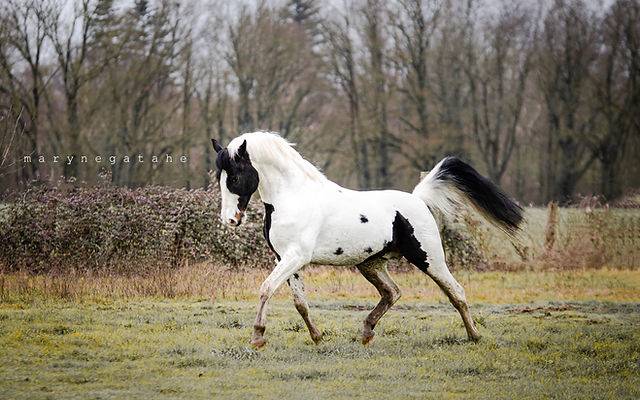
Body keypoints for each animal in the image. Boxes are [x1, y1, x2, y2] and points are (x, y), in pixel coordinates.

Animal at [211, 131, 523, 348]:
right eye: (219, 177)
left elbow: (265, 289)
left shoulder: (295, 257)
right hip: (371, 263)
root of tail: (418, 199)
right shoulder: (286, 259)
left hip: (429, 258)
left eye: (235, 176)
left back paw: (474, 336)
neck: (294, 197)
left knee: (456, 292)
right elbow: (300, 303)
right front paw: (317, 337)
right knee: (392, 292)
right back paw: (366, 332)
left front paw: (258, 337)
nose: (230, 220)